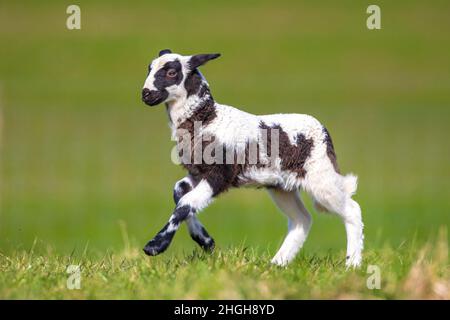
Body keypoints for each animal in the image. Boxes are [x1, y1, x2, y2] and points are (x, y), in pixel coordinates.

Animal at [139, 49, 364, 268]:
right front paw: (206, 241)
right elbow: (178, 193)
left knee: (352, 210)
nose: (145, 94)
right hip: (282, 186)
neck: (207, 118)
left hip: (320, 175)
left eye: (171, 72)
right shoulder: (197, 173)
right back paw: (277, 264)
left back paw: (352, 264)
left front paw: (155, 246)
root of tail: (323, 130)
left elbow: (185, 203)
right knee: (302, 219)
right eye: (149, 69)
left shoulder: (220, 174)